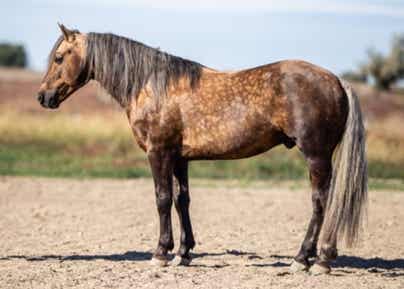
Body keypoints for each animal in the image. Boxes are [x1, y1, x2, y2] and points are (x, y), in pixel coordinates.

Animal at [36, 23, 368, 274]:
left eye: (59, 57)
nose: (43, 97)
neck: (152, 87)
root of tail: (337, 80)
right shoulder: (179, 158)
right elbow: (182, 200)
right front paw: (183, 253)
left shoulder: (158, 153)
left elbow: (162, 199)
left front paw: (161, 252)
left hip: (316, 155)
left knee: (321, 201)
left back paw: (309, 259)